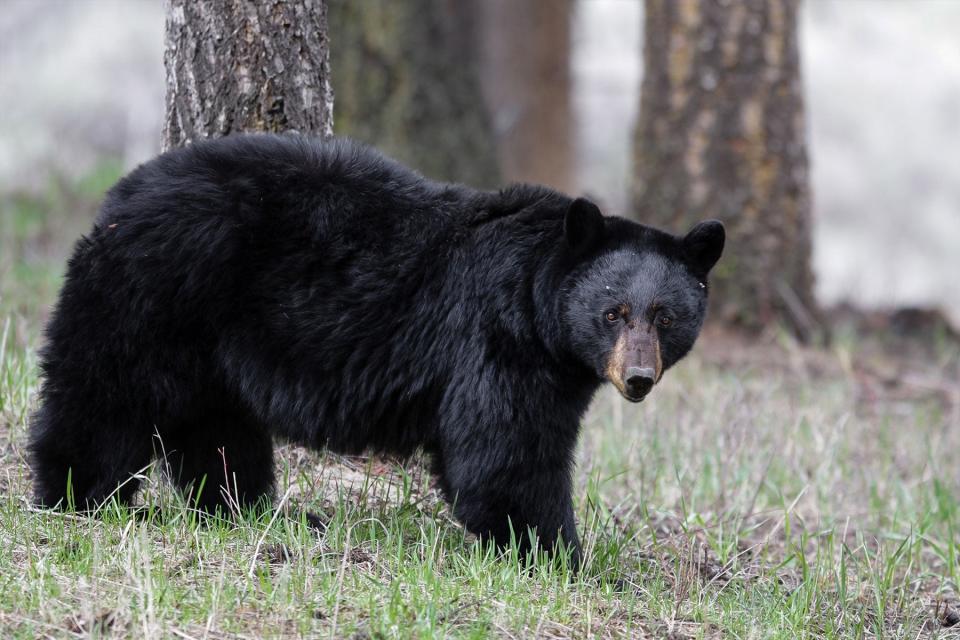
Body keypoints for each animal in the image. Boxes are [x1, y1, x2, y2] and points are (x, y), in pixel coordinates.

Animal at [28, 132, 720, 564]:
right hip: (155, 292)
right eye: (613, 312)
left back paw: (251, 511)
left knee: (216, 428)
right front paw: (563, 557)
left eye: (665, 316)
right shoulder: (497, 343)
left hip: (206, 342)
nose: (637, 377)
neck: (536, 302)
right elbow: (507, 454)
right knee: (104, 397)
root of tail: (119, 196)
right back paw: (77, 498)